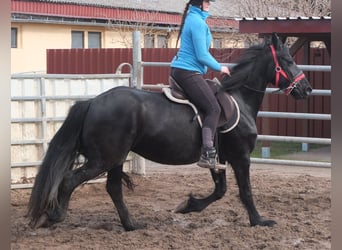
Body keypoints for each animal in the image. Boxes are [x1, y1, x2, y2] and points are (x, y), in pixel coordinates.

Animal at [27, 32, 312, 230]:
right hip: (103, 159)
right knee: (70, 180)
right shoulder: (241, 157)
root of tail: (93, 102)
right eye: (288, 60)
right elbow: (246, 191)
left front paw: (188, 206)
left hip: (116, 159)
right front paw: (259, 221)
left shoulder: (217, 158)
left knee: (113, 189)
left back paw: (131, 225)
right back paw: (54, 216)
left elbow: (220, 190)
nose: (306, 89)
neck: (239, 98)